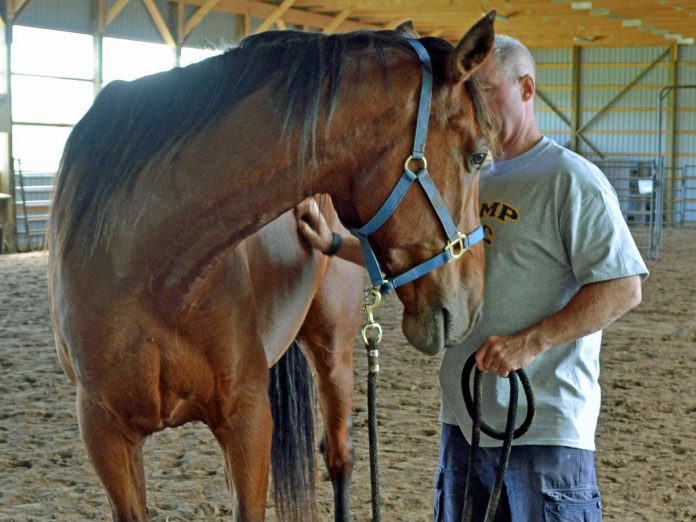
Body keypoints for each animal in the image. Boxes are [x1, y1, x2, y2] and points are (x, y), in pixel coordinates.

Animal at [47, 13, 494, 520]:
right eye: (478, 155)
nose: (474, 306)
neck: (146, 263)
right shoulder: (105, 432)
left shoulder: (248, 419)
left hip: (333, 348)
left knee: (339, 455)